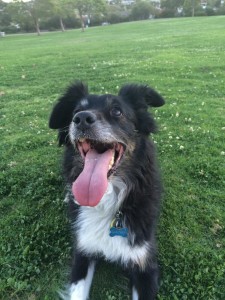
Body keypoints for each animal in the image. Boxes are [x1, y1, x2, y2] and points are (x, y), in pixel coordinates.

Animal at [49, 81, 164, 298]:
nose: (81, 119)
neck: (106, 202)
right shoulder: (82, 251)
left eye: (117, 111)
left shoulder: (144, 265)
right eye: (75, 111)